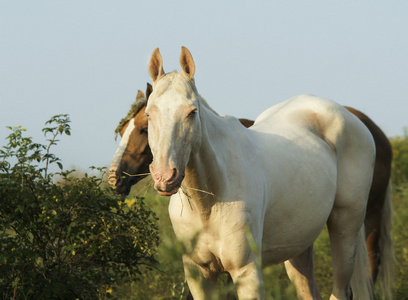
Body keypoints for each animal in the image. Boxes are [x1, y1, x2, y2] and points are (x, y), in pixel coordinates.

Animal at [110, 92, 394, 300]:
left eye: (143, 129)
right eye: (122, 130)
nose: (115, 177)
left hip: (362, 218)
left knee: (370, 265)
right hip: (300, 239)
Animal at [145, 47, 374, 300]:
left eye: (192, 112)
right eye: (149, 114)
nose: (164, 177)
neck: (209, 202)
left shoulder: (247, 272)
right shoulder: (200, 276)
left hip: (346, 227)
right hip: (299, 244)